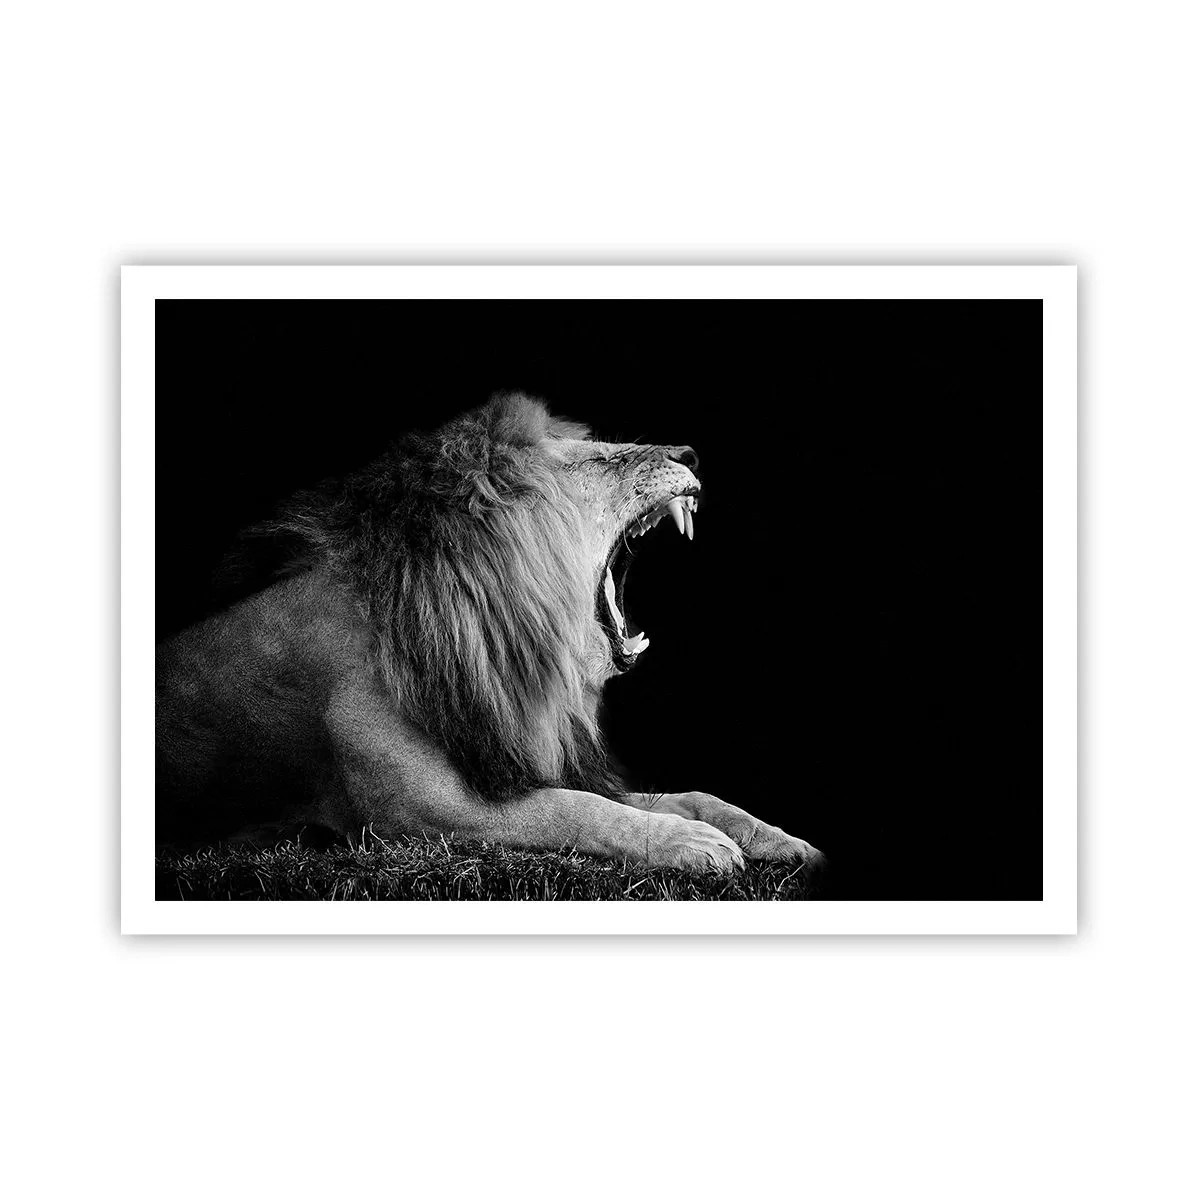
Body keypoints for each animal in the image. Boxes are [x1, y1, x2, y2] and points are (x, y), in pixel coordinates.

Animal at [156, 393, 823, 874]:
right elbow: (576, 811)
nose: (691, 453)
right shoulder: (418, 816)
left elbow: (687, 795)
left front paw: (776, 838)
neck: (489, 646)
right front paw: (693, 844)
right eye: (597, 460)